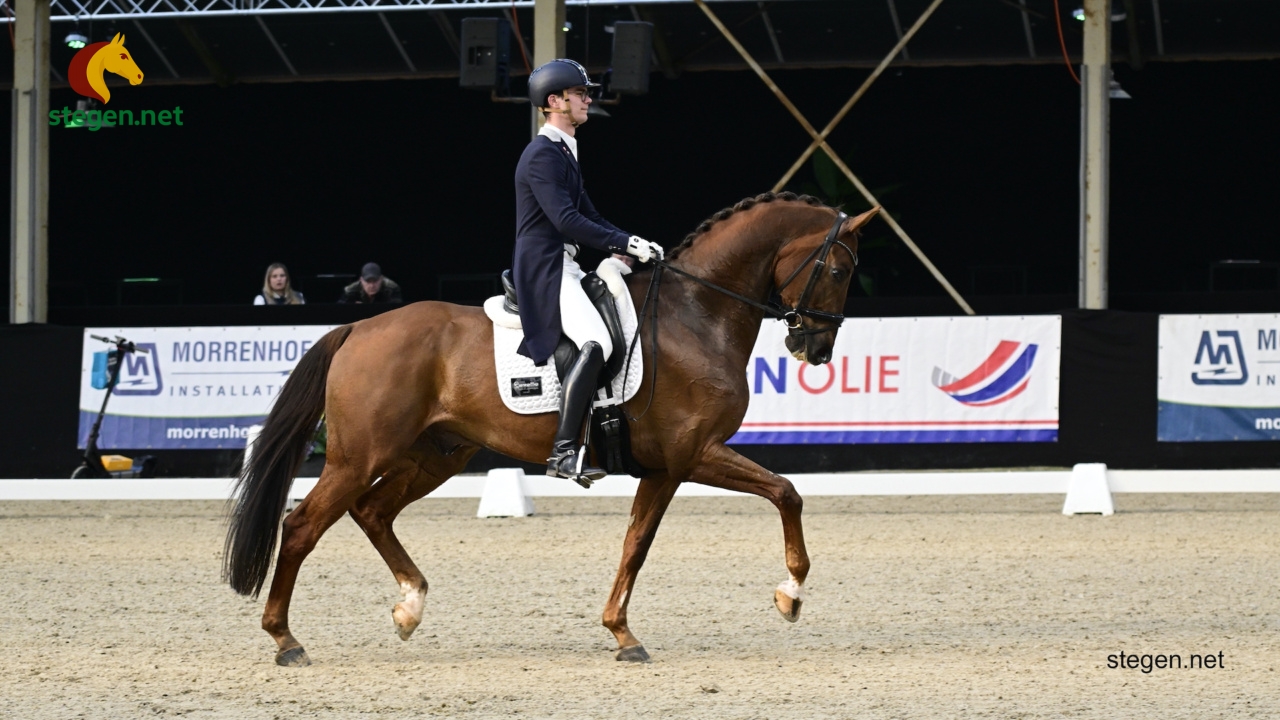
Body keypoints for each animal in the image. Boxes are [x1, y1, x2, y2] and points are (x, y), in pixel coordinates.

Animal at [224, 191, 880, 667]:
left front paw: (621, 634)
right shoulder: (695, 453)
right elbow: (786, 492)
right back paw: (285, 640)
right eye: (838, 268)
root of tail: (357, 328)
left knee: (372, 511)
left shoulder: (666, 468)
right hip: (361, 455)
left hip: (436, 455)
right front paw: (790, 595)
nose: (816, 349)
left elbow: (636, 545)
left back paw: (409, 607)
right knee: (302, 525)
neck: (696, 315)